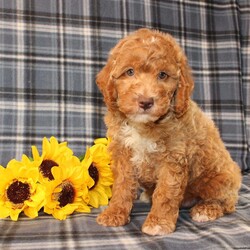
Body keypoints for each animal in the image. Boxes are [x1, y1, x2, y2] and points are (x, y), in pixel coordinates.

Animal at [94, 28, 241, 235]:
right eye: (129, 72)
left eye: (162, 75)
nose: (146, 102)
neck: (144, 125)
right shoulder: (123, 153)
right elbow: (122, 186)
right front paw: (114, 213)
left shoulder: (173, 158)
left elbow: (165, 192)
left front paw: (158, 223)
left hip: (220, 181)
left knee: (226, 203)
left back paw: (205, 210)